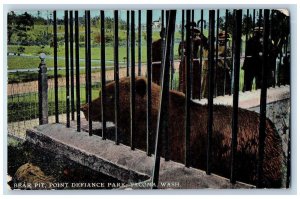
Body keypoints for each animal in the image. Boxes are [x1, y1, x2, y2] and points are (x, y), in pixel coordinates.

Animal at [81, 77, 284, 187]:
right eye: (102, 91)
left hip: (253, 160)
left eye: (108, 95)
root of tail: (272, 127)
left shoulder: (174, 142)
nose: (84, 107)